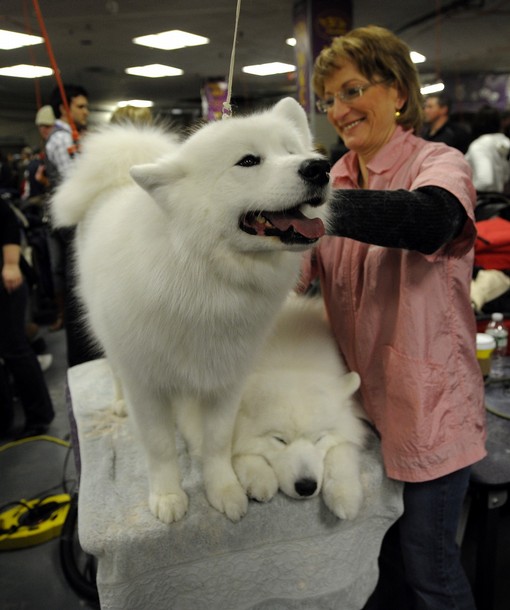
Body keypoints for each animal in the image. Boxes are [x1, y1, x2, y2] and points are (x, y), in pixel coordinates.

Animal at [50, 96, 330, 524]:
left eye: (293, 151)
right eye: (249, 161)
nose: (319, 167)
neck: (204, 270)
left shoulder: (227, 378)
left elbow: (217, 442)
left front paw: (224, 490)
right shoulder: (146, 384)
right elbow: (161, 446)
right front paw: (168, 496)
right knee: (114, 370)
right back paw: (118, 403)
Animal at [231, 294, 366, 516]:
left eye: (319, 439)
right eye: (279, 440)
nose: (306, 486)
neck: (293, 364)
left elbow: (341, 454)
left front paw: (345, 495)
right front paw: (260, 477)